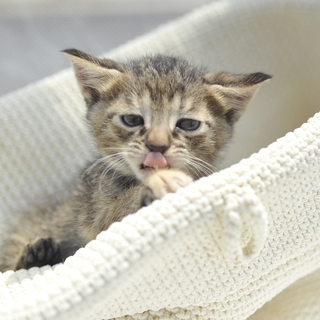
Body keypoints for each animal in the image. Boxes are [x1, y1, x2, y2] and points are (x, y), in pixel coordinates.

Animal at [0, 50, 270, 272]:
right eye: (132, 120)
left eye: (188, 124)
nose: (157, 146)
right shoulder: (92, 217)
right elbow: (113, 215)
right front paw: (158, 184)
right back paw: (37, 255)